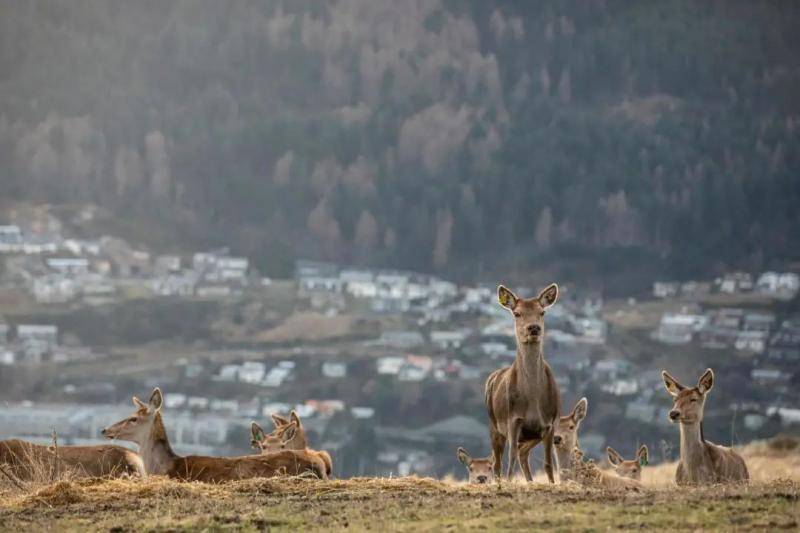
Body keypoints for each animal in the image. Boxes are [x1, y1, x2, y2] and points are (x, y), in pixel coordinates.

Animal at [484, 282, 560, 482]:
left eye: (542, 312)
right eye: (517, 313)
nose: (533, 328)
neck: (532, 399)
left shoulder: (550, 423)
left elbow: (548, 464)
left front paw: (552, 483)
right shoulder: (513, 420)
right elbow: (509, 460)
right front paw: (508, 482)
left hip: (531, 435)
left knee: (523, 453)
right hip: (494, 424)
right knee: (498, 461)